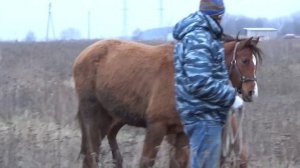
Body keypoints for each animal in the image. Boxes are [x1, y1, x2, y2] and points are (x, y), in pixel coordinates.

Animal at [72, 37, 260, 168]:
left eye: (255, 63)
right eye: (244, 60)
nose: (252, 92)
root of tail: (83, 55)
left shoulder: (181, 133)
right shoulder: (156, 127)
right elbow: (146, 162)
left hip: (110, 119)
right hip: (94, 118)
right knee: (92, 154)